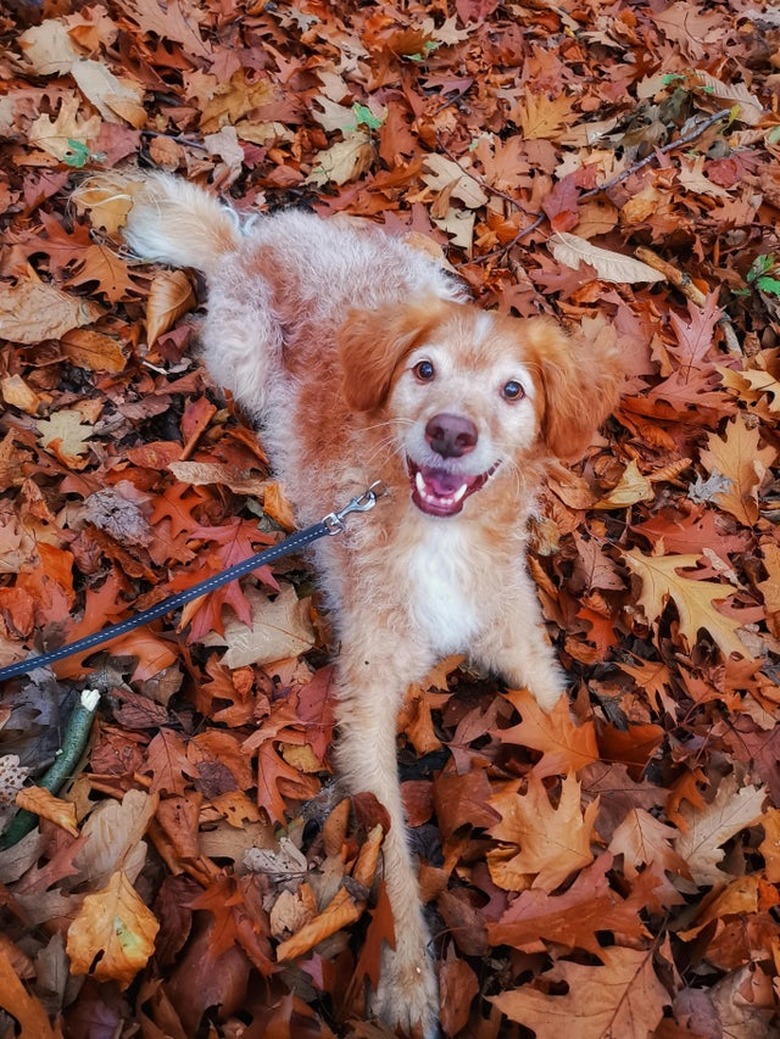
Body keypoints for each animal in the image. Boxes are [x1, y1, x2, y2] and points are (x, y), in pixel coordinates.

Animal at [111, 174, 623, 1034]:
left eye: (512, 390)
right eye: (424, 371)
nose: (449, 432)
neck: (439, 536)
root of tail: (249, 243)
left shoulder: (522, 641)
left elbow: (568, 731)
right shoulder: (368, 691)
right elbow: (389, 859)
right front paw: (409, 978)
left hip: (425, 271)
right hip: (245, 357)